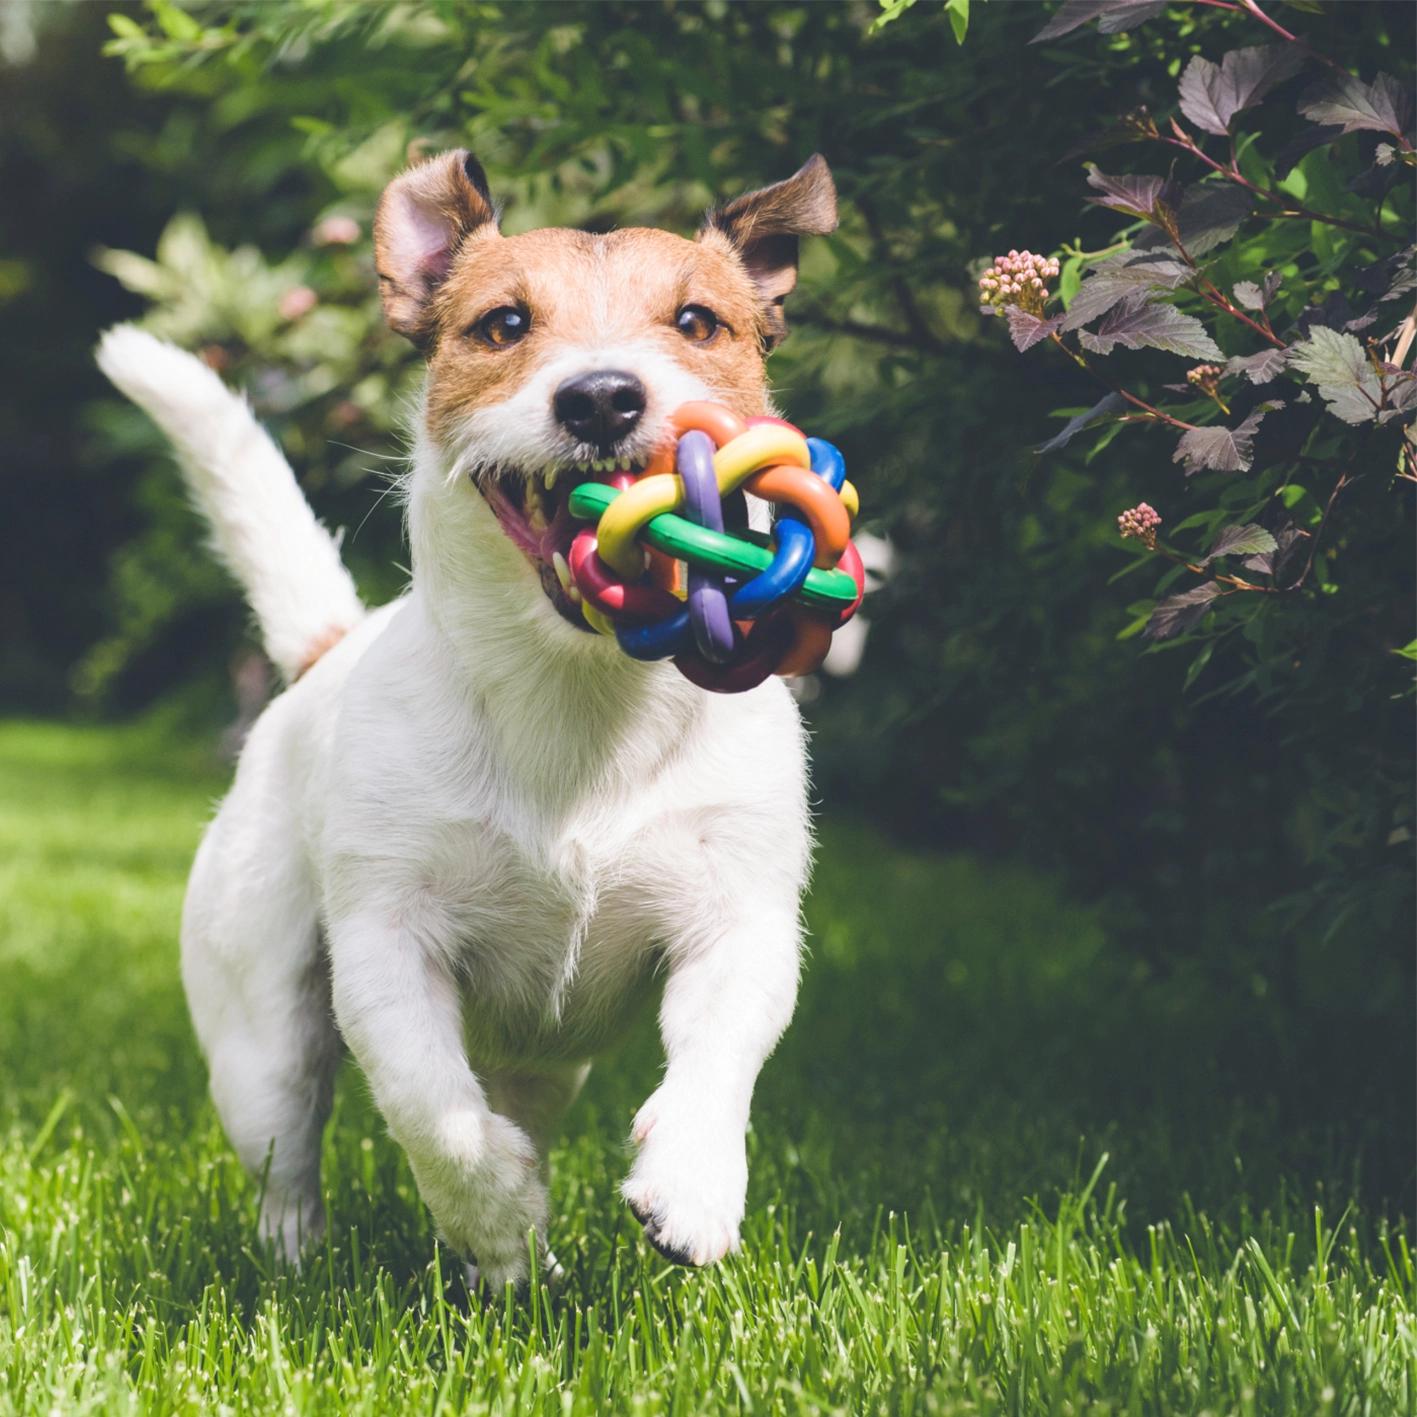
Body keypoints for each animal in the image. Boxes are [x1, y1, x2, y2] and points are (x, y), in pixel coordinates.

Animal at [102, 149, 838, 1292]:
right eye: (502, 324)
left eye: (697, 320)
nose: (602, 396)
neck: (577, 693)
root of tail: (326, 650)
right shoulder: (385, 943)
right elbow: (430, 1109)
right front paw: (493, 1212)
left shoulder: (740, 918)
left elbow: (719, 1054)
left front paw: (692, 1185)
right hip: (260, 1031)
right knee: (290, 1145)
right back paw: (319, 1255)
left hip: (545, 1058)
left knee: (521, 1101)